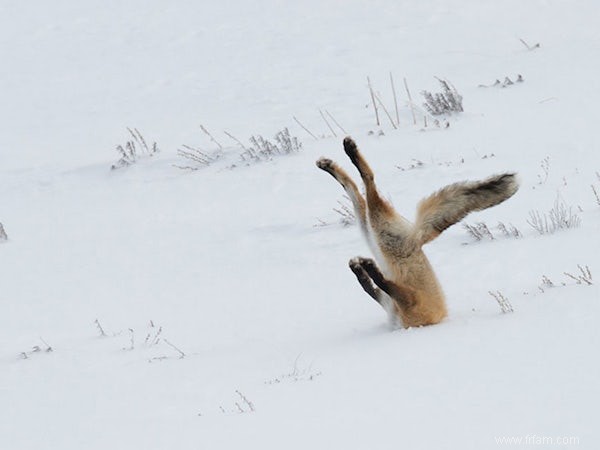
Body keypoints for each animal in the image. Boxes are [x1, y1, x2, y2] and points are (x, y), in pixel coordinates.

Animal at [316, 137, 516, 326]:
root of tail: (417, 238)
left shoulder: (408, 302)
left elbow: (379, 284)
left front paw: (367, 269)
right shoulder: (394, 302)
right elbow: (370, 286)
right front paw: (361, 269)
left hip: (378, 231)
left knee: (367, 182)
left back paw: (347, 153)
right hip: (373, 232)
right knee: (355, 188)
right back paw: (332, 163)